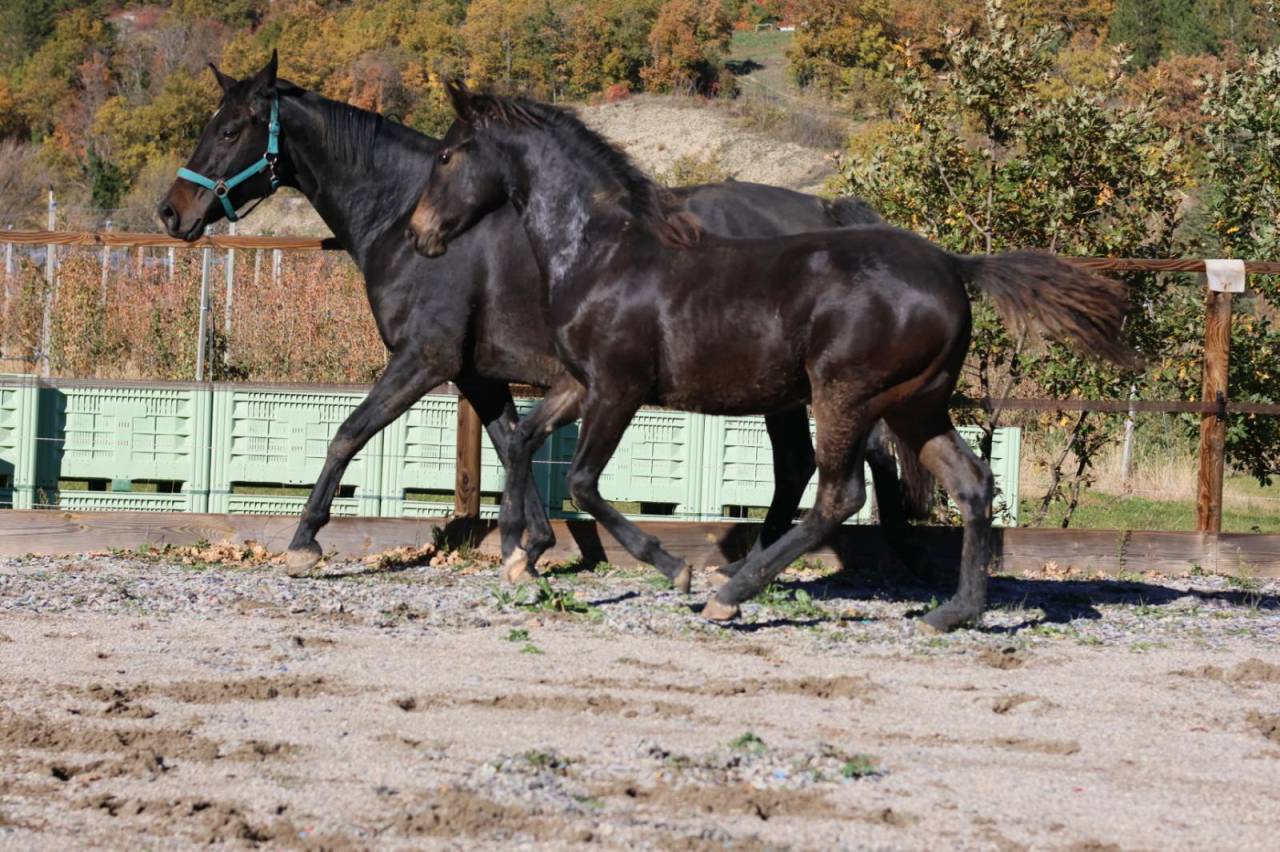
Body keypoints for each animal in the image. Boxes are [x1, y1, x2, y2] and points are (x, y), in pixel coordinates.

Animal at [156, 52, 929, 581]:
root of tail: (825, 210)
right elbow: (509, 443)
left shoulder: (424, 360)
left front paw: (304, 539)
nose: (172, 211)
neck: (405, 218)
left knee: (824, 464)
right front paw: (527, 545)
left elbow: (347, 434)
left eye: (231, 129)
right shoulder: (481, 374)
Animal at [406, 83, 1138, 632]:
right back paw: (952, 613)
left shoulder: (618, 387)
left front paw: (673, 568)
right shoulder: (581, 384)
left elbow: (584, 482)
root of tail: (955, 264)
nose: (419, 235)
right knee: (971, 483)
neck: (601, 252)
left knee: (839, 493)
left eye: (448, 155)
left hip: (844, 395)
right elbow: (524, 439)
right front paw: (521, 557)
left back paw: (730, 595)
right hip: (915, 406)